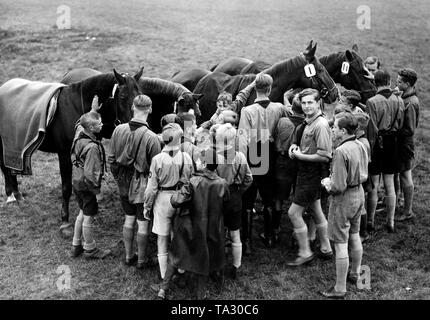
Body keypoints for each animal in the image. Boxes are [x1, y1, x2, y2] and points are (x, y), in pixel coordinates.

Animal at [0, 68, 143, 235]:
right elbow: (66, 187)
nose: (135, 124)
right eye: (123, 96)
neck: (76, 107)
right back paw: (13, 196)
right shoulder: (64, 154)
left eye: (140, 95)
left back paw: (15, 195)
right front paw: (65, 222)